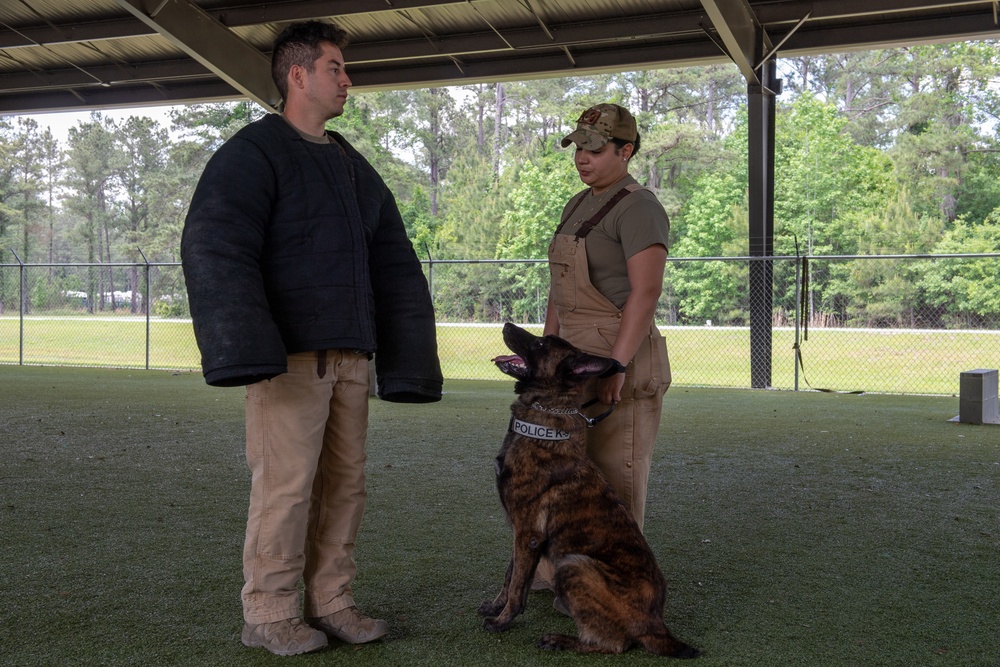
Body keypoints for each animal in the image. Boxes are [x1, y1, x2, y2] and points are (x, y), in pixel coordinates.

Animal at [480, 324, 700, 656]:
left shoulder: (528, 534)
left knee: (614, 644)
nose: (506, 325)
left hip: (574, 565)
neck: (543, 420)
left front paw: (502, 621)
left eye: (541, 344)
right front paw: (496, 607)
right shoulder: (520, 532)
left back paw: (560, 640)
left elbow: (518, 585)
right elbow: (510, 575)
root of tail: (657, 625)